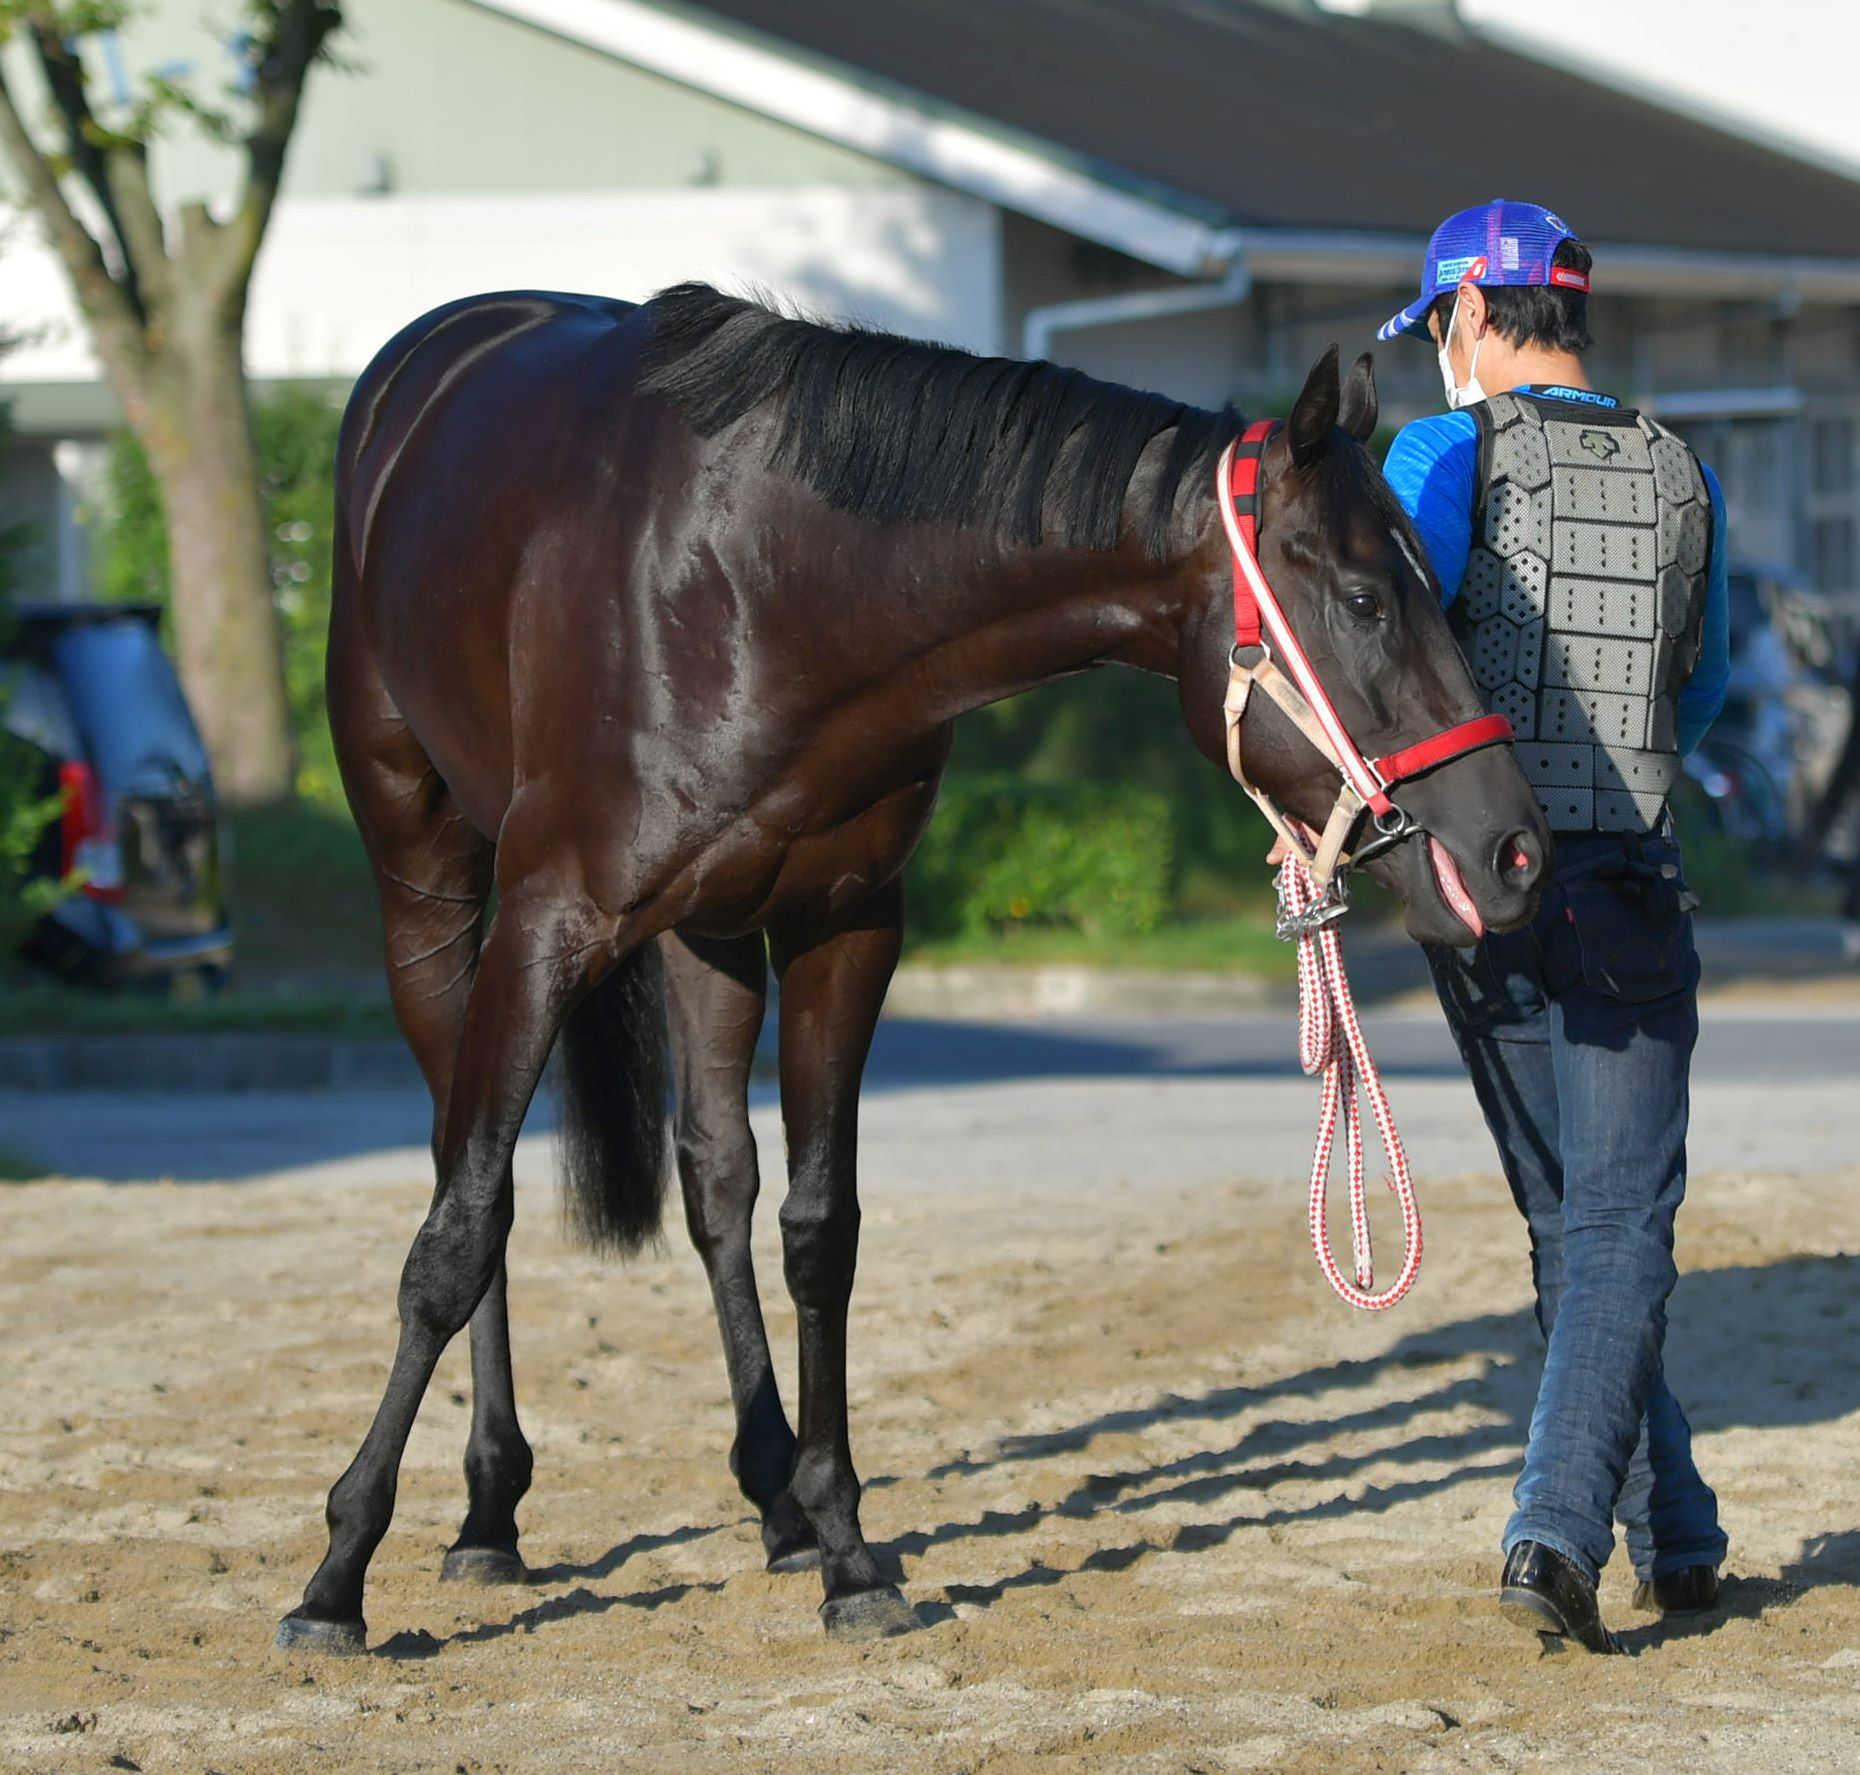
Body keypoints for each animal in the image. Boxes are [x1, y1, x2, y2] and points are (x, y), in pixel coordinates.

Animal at [275, 277, 1547, 1644]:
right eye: (1365, 600)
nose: (1513, 847)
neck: (761, 583)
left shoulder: (845, 928)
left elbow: (817, 1229)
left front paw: (843, 1541)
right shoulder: (542, 923)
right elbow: (457, 1233)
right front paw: (339, 1565)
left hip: (711, 929)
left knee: (714, 1178)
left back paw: (770, 1495)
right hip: (427, 887)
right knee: (468, 1171)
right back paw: (488, 1510)